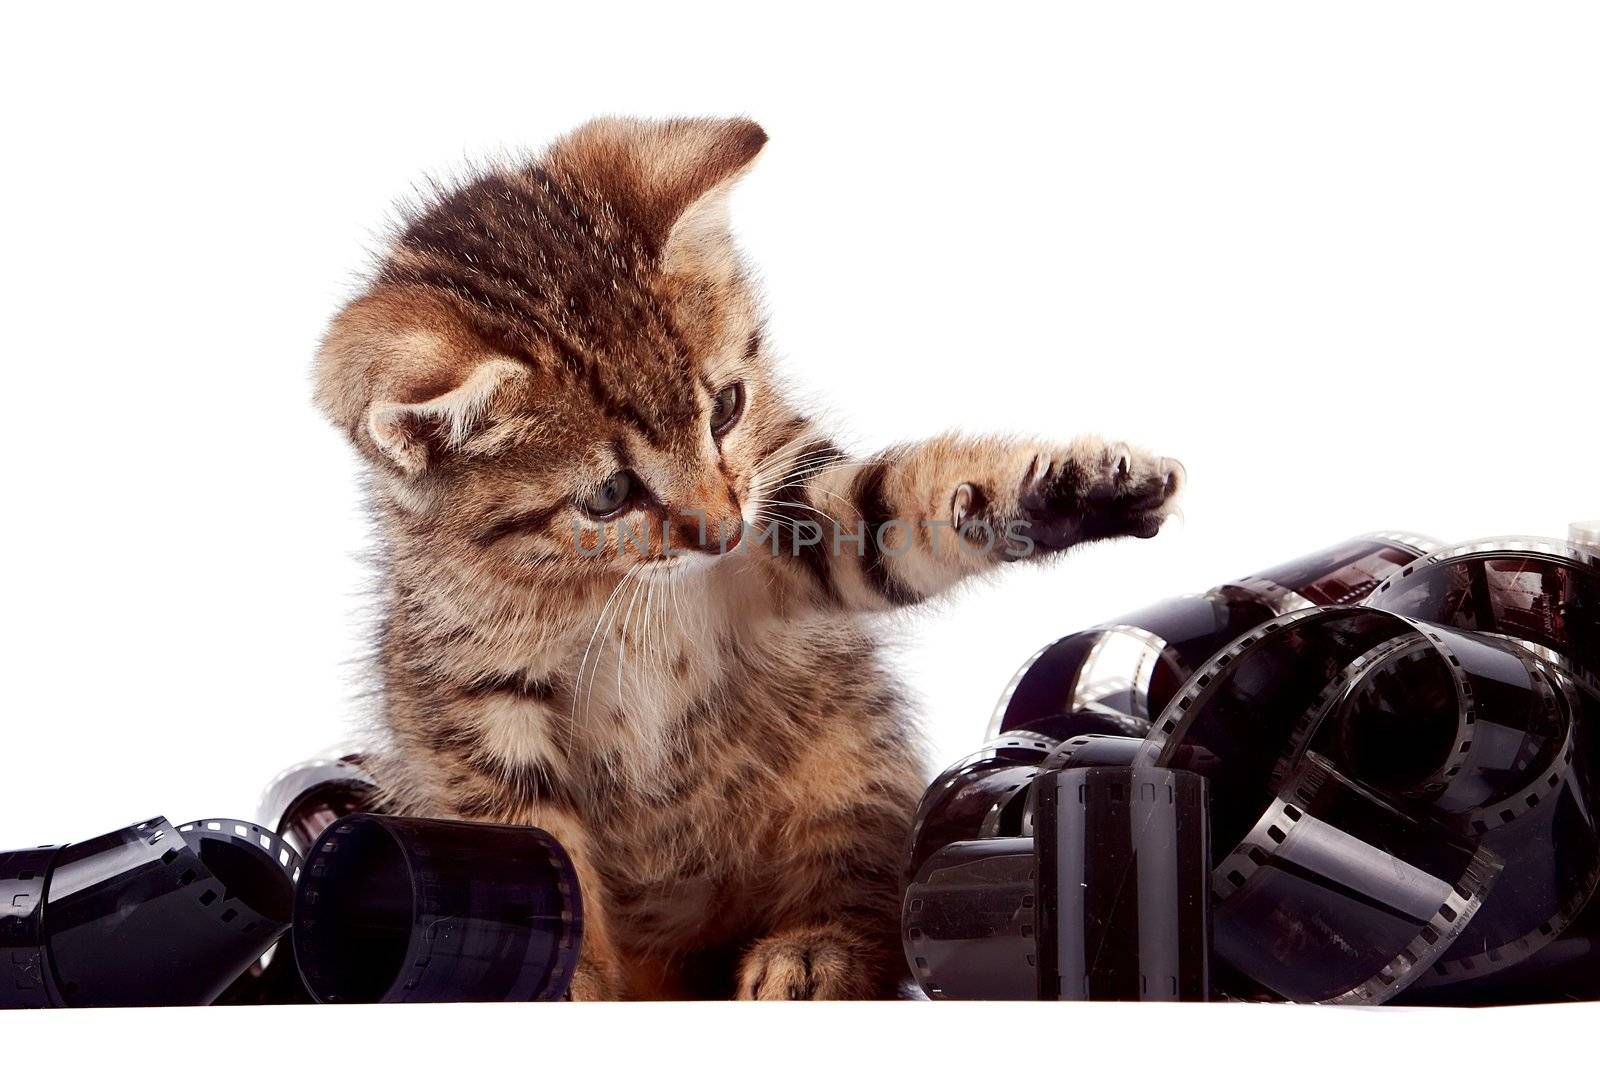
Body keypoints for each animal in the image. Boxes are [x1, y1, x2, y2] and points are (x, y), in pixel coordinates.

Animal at [315, 116, 1190, 998]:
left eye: (727, 408)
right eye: (609, 495)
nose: (722, 529)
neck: (616, 588)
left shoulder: (794, 513)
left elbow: (891, 508)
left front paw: (1071, 490)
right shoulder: (474, 708)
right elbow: (533, 852)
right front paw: (564, 985)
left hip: (846, 749)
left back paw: (815, 951)